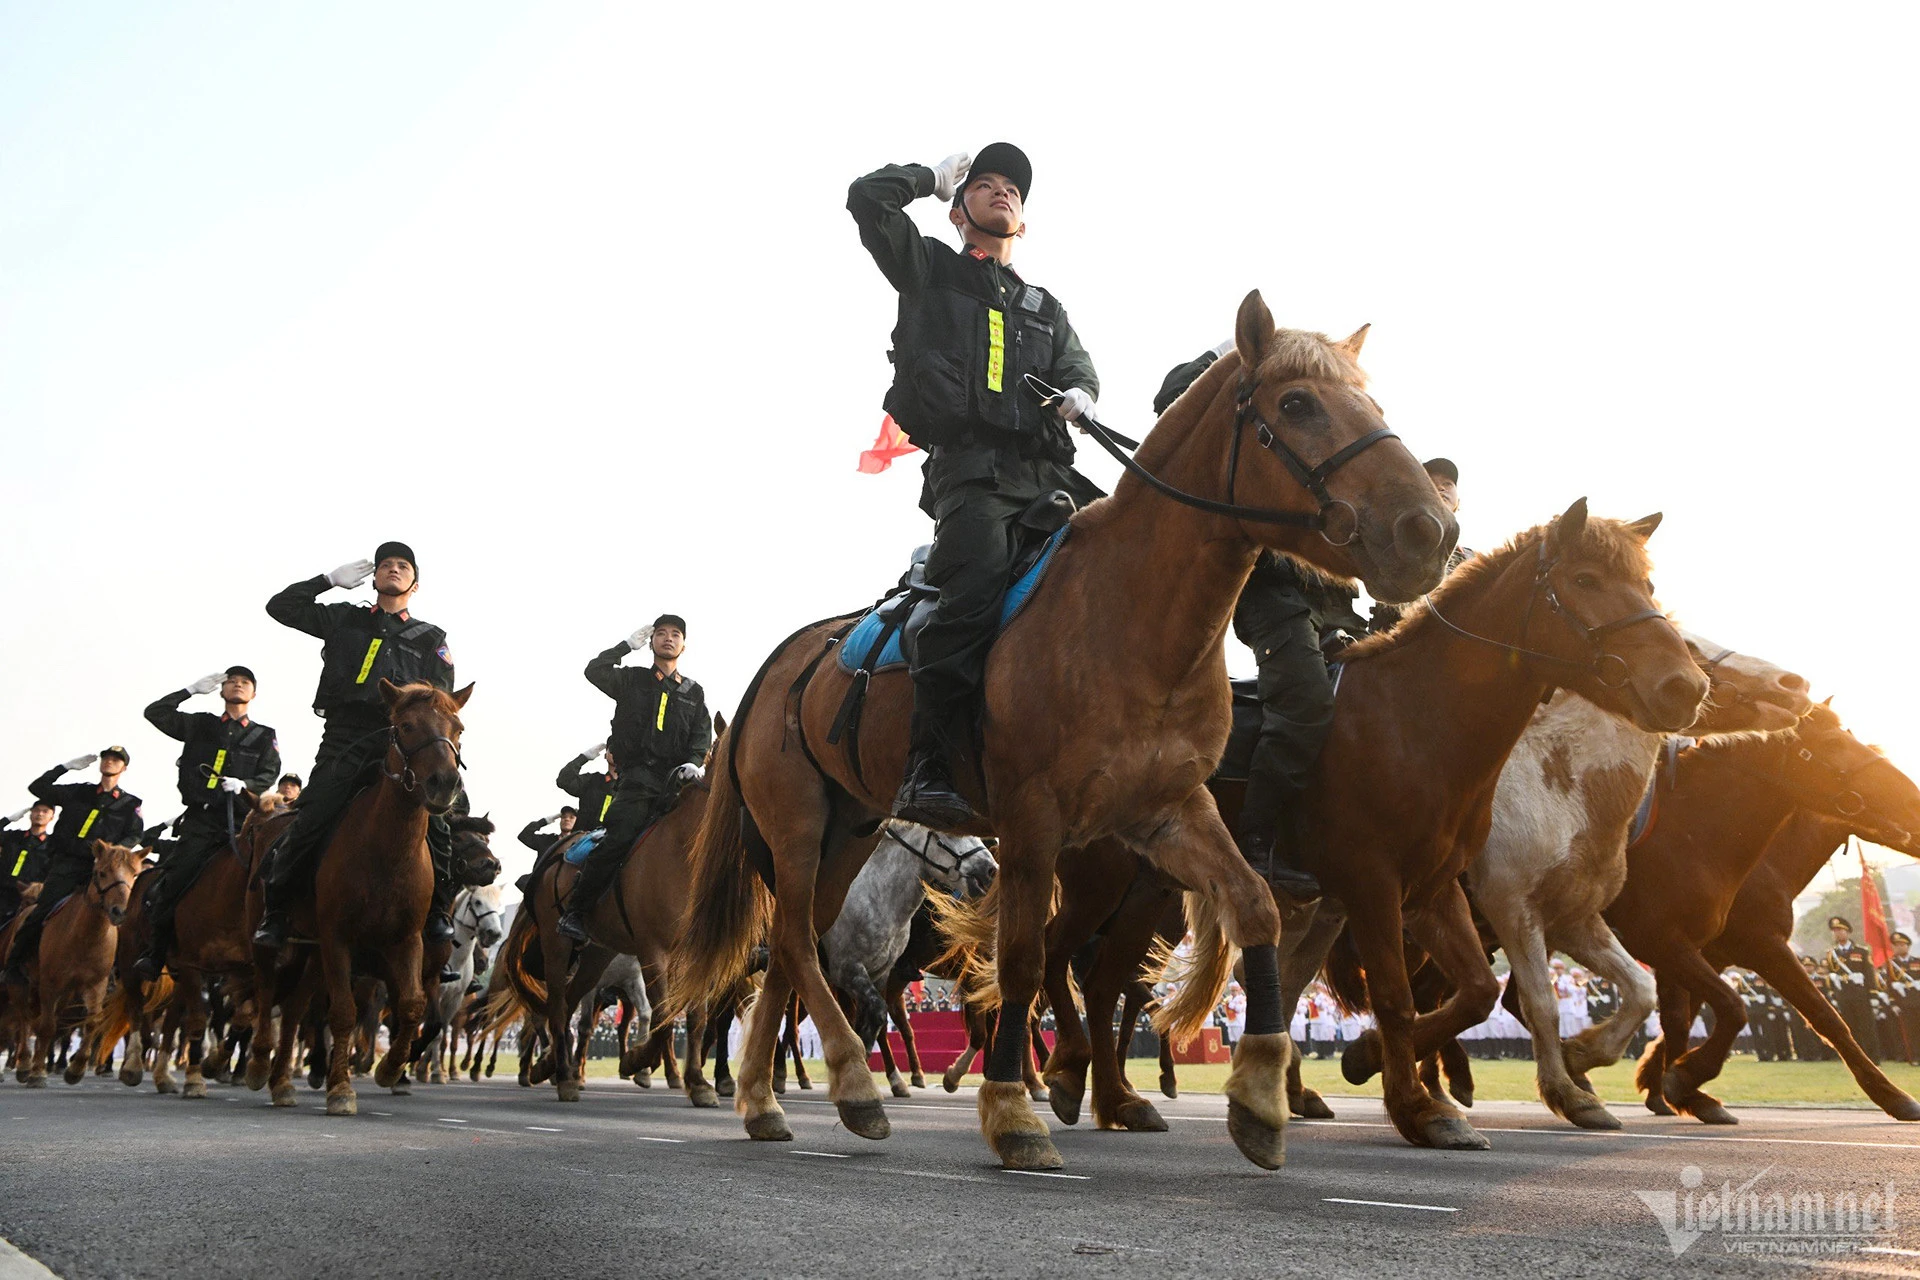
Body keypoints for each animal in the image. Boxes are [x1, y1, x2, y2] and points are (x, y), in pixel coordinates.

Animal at [22, 844, 139, 1090]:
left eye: (134, 875)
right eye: (102, 873)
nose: (120, 912)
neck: (85, 938)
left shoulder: (96, 986)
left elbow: (93, 1023)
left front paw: (76, 1069)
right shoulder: (50, 985)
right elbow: (47, 1026)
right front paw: (37, 1073)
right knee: (28, 1019)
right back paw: (27, 1064)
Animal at [245, 679, 474, 1113]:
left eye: (458, 729)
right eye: (405, 726)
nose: (445, 784)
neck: (386, 851)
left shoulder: (408, 940)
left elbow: (412, 1005)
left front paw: (390, 1069)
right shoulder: (338, 938)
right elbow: (342, 1014)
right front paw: (340, 1089)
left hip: (312, 951)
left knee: (296, 1008)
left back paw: (282, 1082)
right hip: (275, 942)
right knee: (267, 996)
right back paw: (259, 1065)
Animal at [668, 293, 1443, 1174]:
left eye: (1371, 402)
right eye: (1299, 404)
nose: (1428, 531)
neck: (1132, 615)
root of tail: (780, 662)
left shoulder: (1166, 813)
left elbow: (1255, 908)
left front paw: (1256, 1099)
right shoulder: (1032, 821)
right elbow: (1025, 961)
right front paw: (1014, 1110)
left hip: (849, 830)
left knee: (790, 949)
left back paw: (770, 1101)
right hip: (798, 824)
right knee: (798, 945)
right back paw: (855, 1085)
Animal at [1167, 498, 1712, 1151]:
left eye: (1647, 585)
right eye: (1585, 580)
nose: (1685, 686)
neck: (1418, 722)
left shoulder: (1435, 890)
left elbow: (1479, 992)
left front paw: (1372, 1061)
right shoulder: (1381, 888)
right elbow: (1402, 999)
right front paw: (1416, 1108)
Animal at [1605, 706, 1920, 1128]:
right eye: (1833, 743)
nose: (1913, 801)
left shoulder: (1701, 952)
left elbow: (1682, 1017)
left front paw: (1670, 1085)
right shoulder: (1752, 945)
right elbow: (1817, 1015)